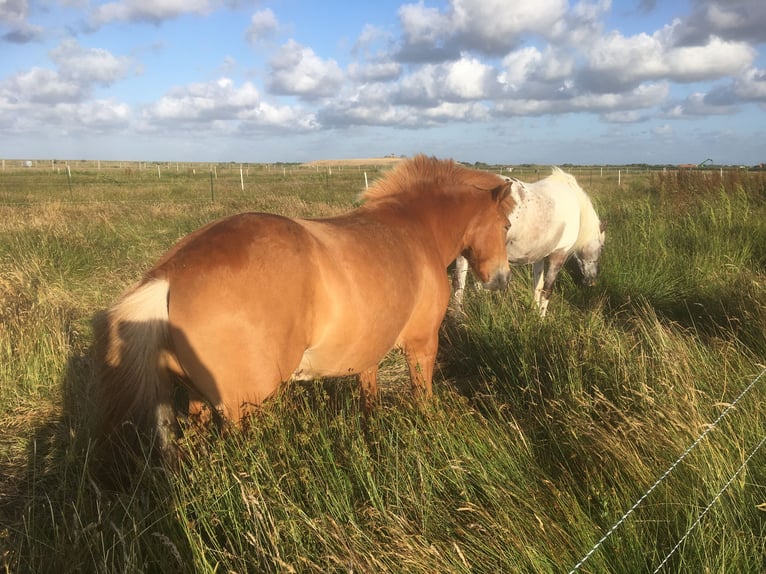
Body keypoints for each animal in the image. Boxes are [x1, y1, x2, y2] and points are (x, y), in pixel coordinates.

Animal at [96, 155, 516, 456]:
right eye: (507, 225)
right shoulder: (422, 346)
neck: (413, 228)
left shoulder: (367, 353)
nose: (501, 279)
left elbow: (369, 400)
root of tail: (172, 274)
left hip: (199, 399)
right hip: (244, 408)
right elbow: (423, 399)